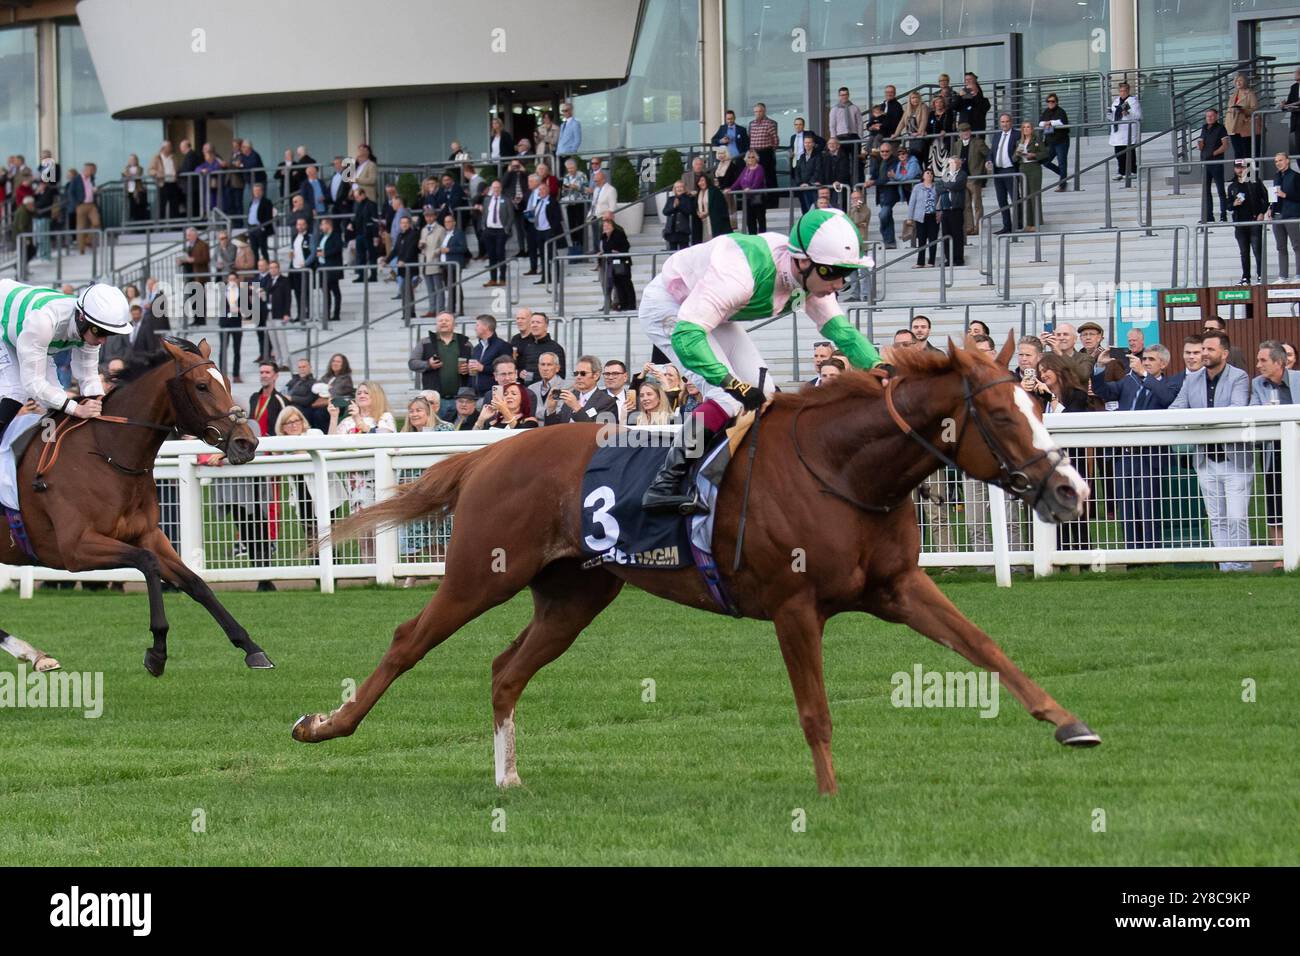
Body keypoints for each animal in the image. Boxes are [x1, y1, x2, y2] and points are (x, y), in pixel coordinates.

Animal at [0, 340, 271, 676]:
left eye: (229, 384)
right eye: (202, 386)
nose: (247, 443)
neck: (106, 453)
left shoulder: (148, 534)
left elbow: (196, 583)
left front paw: (251, 647)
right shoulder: (74, 548)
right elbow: (147, 562)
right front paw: (157, 650)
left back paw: (35, 654)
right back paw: (30, 652)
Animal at [292, 332, 1097, 796]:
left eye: (1041, 402)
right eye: (1004, 417)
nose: (1072, 490)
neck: (843, 467)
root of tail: (492, 452)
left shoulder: (897, 587)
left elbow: (986, 646)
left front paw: (1070, 724)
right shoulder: (795, 606)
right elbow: (815, 710)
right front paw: (830, 799)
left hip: (575, 595)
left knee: (505, 668)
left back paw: (508, 776)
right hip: (480, 573)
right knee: (409, 641)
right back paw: (325, 726)